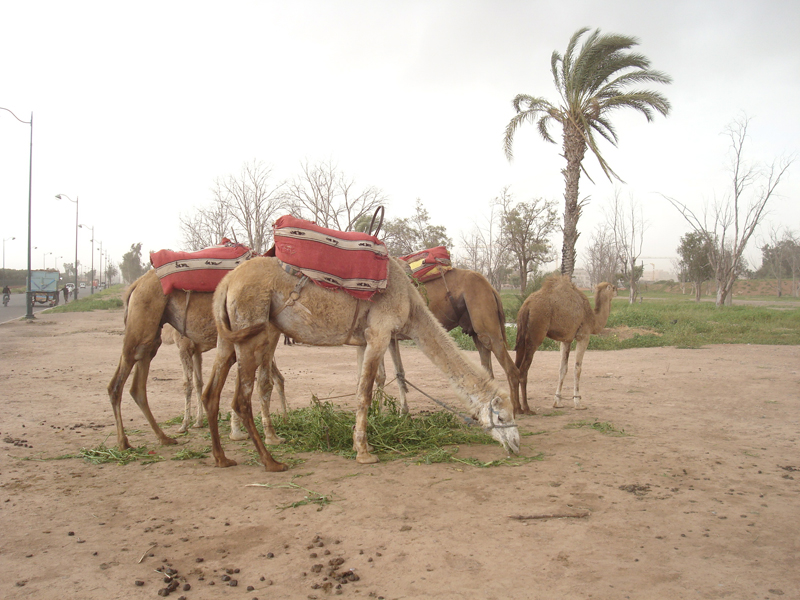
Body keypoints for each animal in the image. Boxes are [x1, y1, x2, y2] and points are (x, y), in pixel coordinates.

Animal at [108, 270, 286, 450]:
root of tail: (136, 284)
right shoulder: (188, 348)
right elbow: (192, 383)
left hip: (150, 337)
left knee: (137, 386)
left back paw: (162, 438)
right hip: (141, 325)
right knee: (117, 384)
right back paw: (124, 442)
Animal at [202, 255, 520, 472]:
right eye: (502, 416)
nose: (516, 445)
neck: (411, 302)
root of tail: (226, 283)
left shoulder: (365, 340)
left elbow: (363, 385)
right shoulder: (380, 333)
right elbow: (365, 391)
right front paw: (365, 452)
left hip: (228, 336)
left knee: (211, 392)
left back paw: (222, 458)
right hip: (253, 330)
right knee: (241, 397)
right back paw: (272, 462)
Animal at [512, 276, 620, 412]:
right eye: (613, 287)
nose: (618, 291)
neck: (593, 319)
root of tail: (527, 306)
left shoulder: (566, 340)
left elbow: (563, 368)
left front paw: (557, 402)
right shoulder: (583, 336)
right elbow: (577, 368)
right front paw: (578, 403)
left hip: (521, 335)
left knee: (515, 368)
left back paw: (517, 408)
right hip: (536, 334)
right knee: (523, 370)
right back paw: (526, 408)